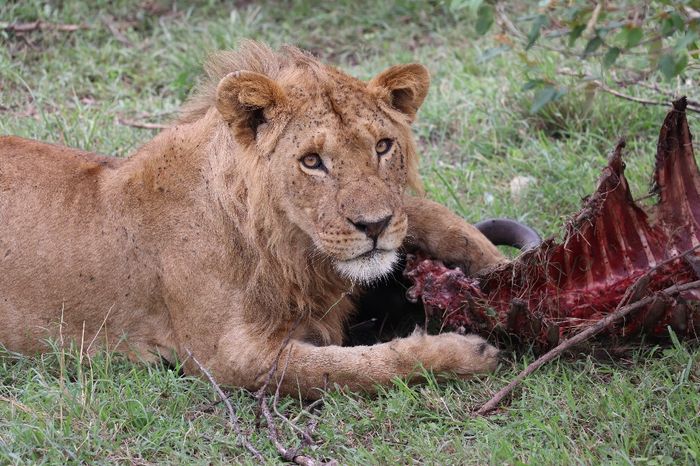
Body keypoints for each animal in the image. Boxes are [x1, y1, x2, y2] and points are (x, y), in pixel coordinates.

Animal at [0, 41, 505, 398]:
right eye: (312, 161)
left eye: (383, 146)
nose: (375, 227)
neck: (286, 246)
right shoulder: (225, 358)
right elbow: (344, 369)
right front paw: (462, 353)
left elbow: (423, 211)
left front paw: (505, 272)